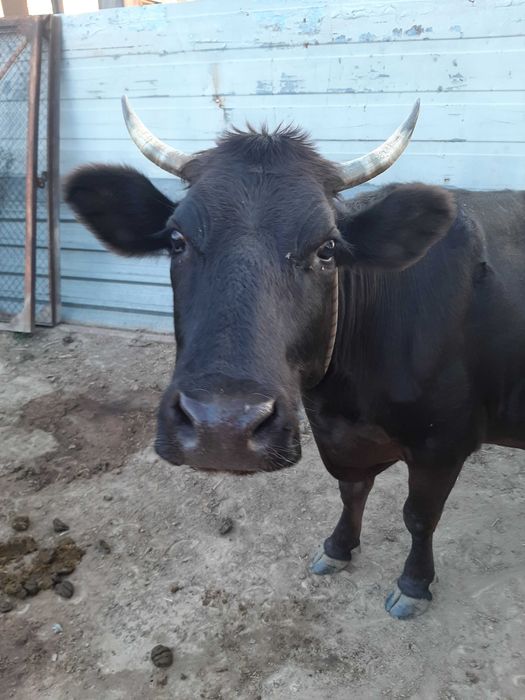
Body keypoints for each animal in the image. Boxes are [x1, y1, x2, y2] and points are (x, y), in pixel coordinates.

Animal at [65, 98, 525, 619]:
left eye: (327, 249)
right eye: (176, 240)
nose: (222, 428)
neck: (347, 400)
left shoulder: (443, 442)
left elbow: (419, 517)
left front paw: (413, 584)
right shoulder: (337, 436)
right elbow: (351, 489)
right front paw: (338, 548)